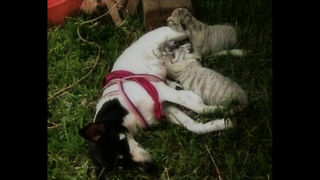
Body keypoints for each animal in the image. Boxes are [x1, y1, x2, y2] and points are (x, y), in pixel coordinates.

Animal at [77, 25, 232, 179]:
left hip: (174, 34)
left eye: (122, 145)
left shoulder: (159, 90)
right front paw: (221, 123)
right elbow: (194, 126)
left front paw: (222, 108)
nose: (149, 167)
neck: (122, 111)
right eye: (122, 167)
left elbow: (197, 107)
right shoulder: (166, 109)